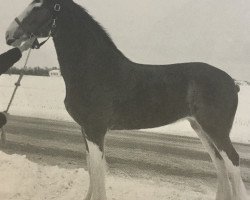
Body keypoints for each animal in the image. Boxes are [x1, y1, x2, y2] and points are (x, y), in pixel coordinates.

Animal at [4, 0, 249, 200]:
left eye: (38, 8)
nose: (8, 35)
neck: (95, 69)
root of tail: (233, 83)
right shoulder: (86, 130)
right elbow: (92, 169)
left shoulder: (95, 130)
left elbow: (98, 171)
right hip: (200, 128)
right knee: (219, 164)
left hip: (216, 130)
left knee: (233, 162)